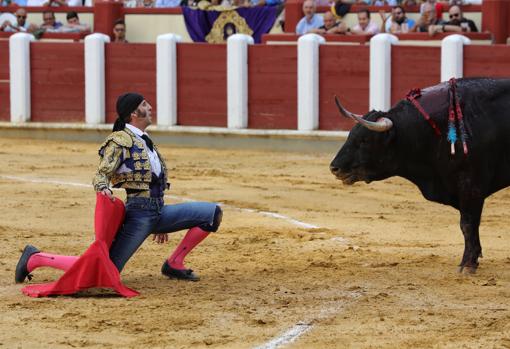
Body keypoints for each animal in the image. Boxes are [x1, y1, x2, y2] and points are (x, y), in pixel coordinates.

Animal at [328, 78, 510, 272]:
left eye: (365, 140)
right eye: (350, 135)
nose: (334, 168)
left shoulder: (471, 185)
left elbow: (467, 224)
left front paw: (467, 265)